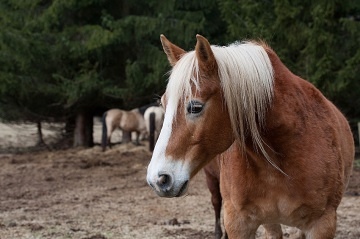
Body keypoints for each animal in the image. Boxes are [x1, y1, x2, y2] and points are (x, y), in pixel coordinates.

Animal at [146, 34, 354, 239]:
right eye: (163, 104)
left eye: (195, 107)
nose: (158, 179)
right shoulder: (238, 223)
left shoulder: (321, 224)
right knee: (216, 203)